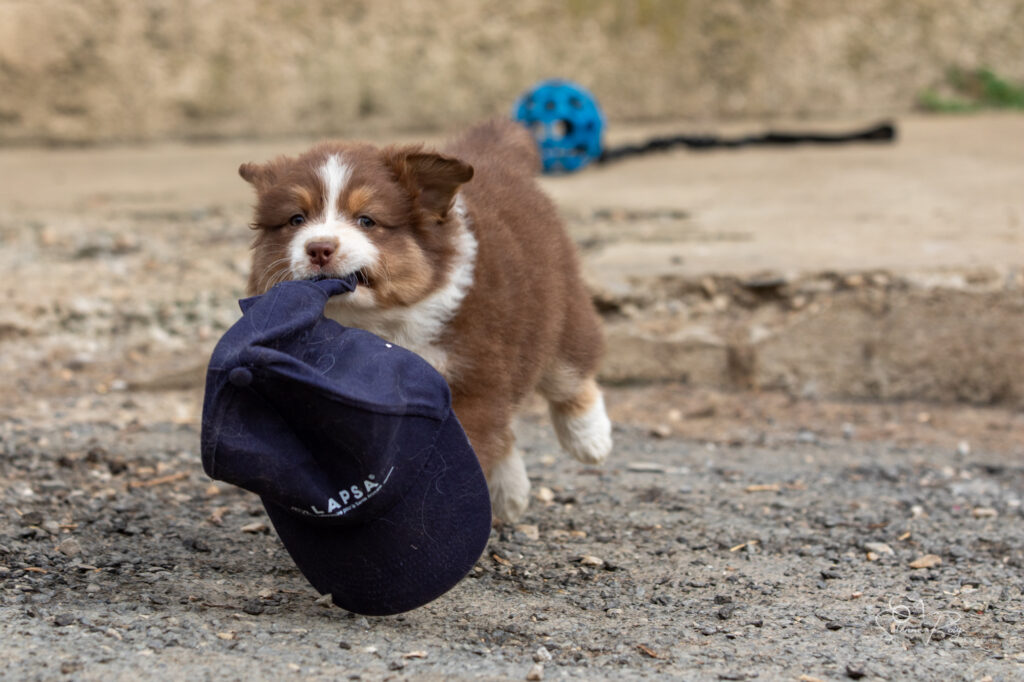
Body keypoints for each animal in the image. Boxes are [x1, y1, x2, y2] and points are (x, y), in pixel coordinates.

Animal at [239, 119, 612, 522]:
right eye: (296, 219)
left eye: (366, 220)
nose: (319, 248)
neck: (372, 322)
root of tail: (498, 154)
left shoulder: (471, 375)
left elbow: (466, 450)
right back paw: (509, 495)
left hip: (559, 307)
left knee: (571, 373)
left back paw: (590, 440)